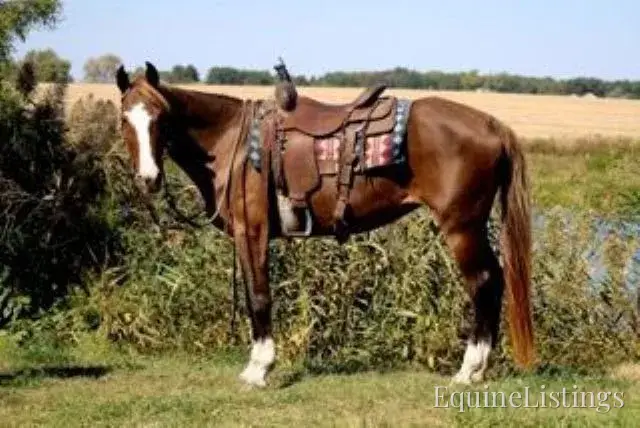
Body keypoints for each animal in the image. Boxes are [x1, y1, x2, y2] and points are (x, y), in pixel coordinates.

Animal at [115, 61, 534, 387]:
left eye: (161, 118)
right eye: (124, 119)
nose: (149, 179)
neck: (233, 141)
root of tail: (493, 126)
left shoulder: (253, 232)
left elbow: (258, 296)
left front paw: (259, 368)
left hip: (461, 227)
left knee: (482, 283)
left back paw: (468, 369)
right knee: (494, 280)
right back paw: (478, 369)